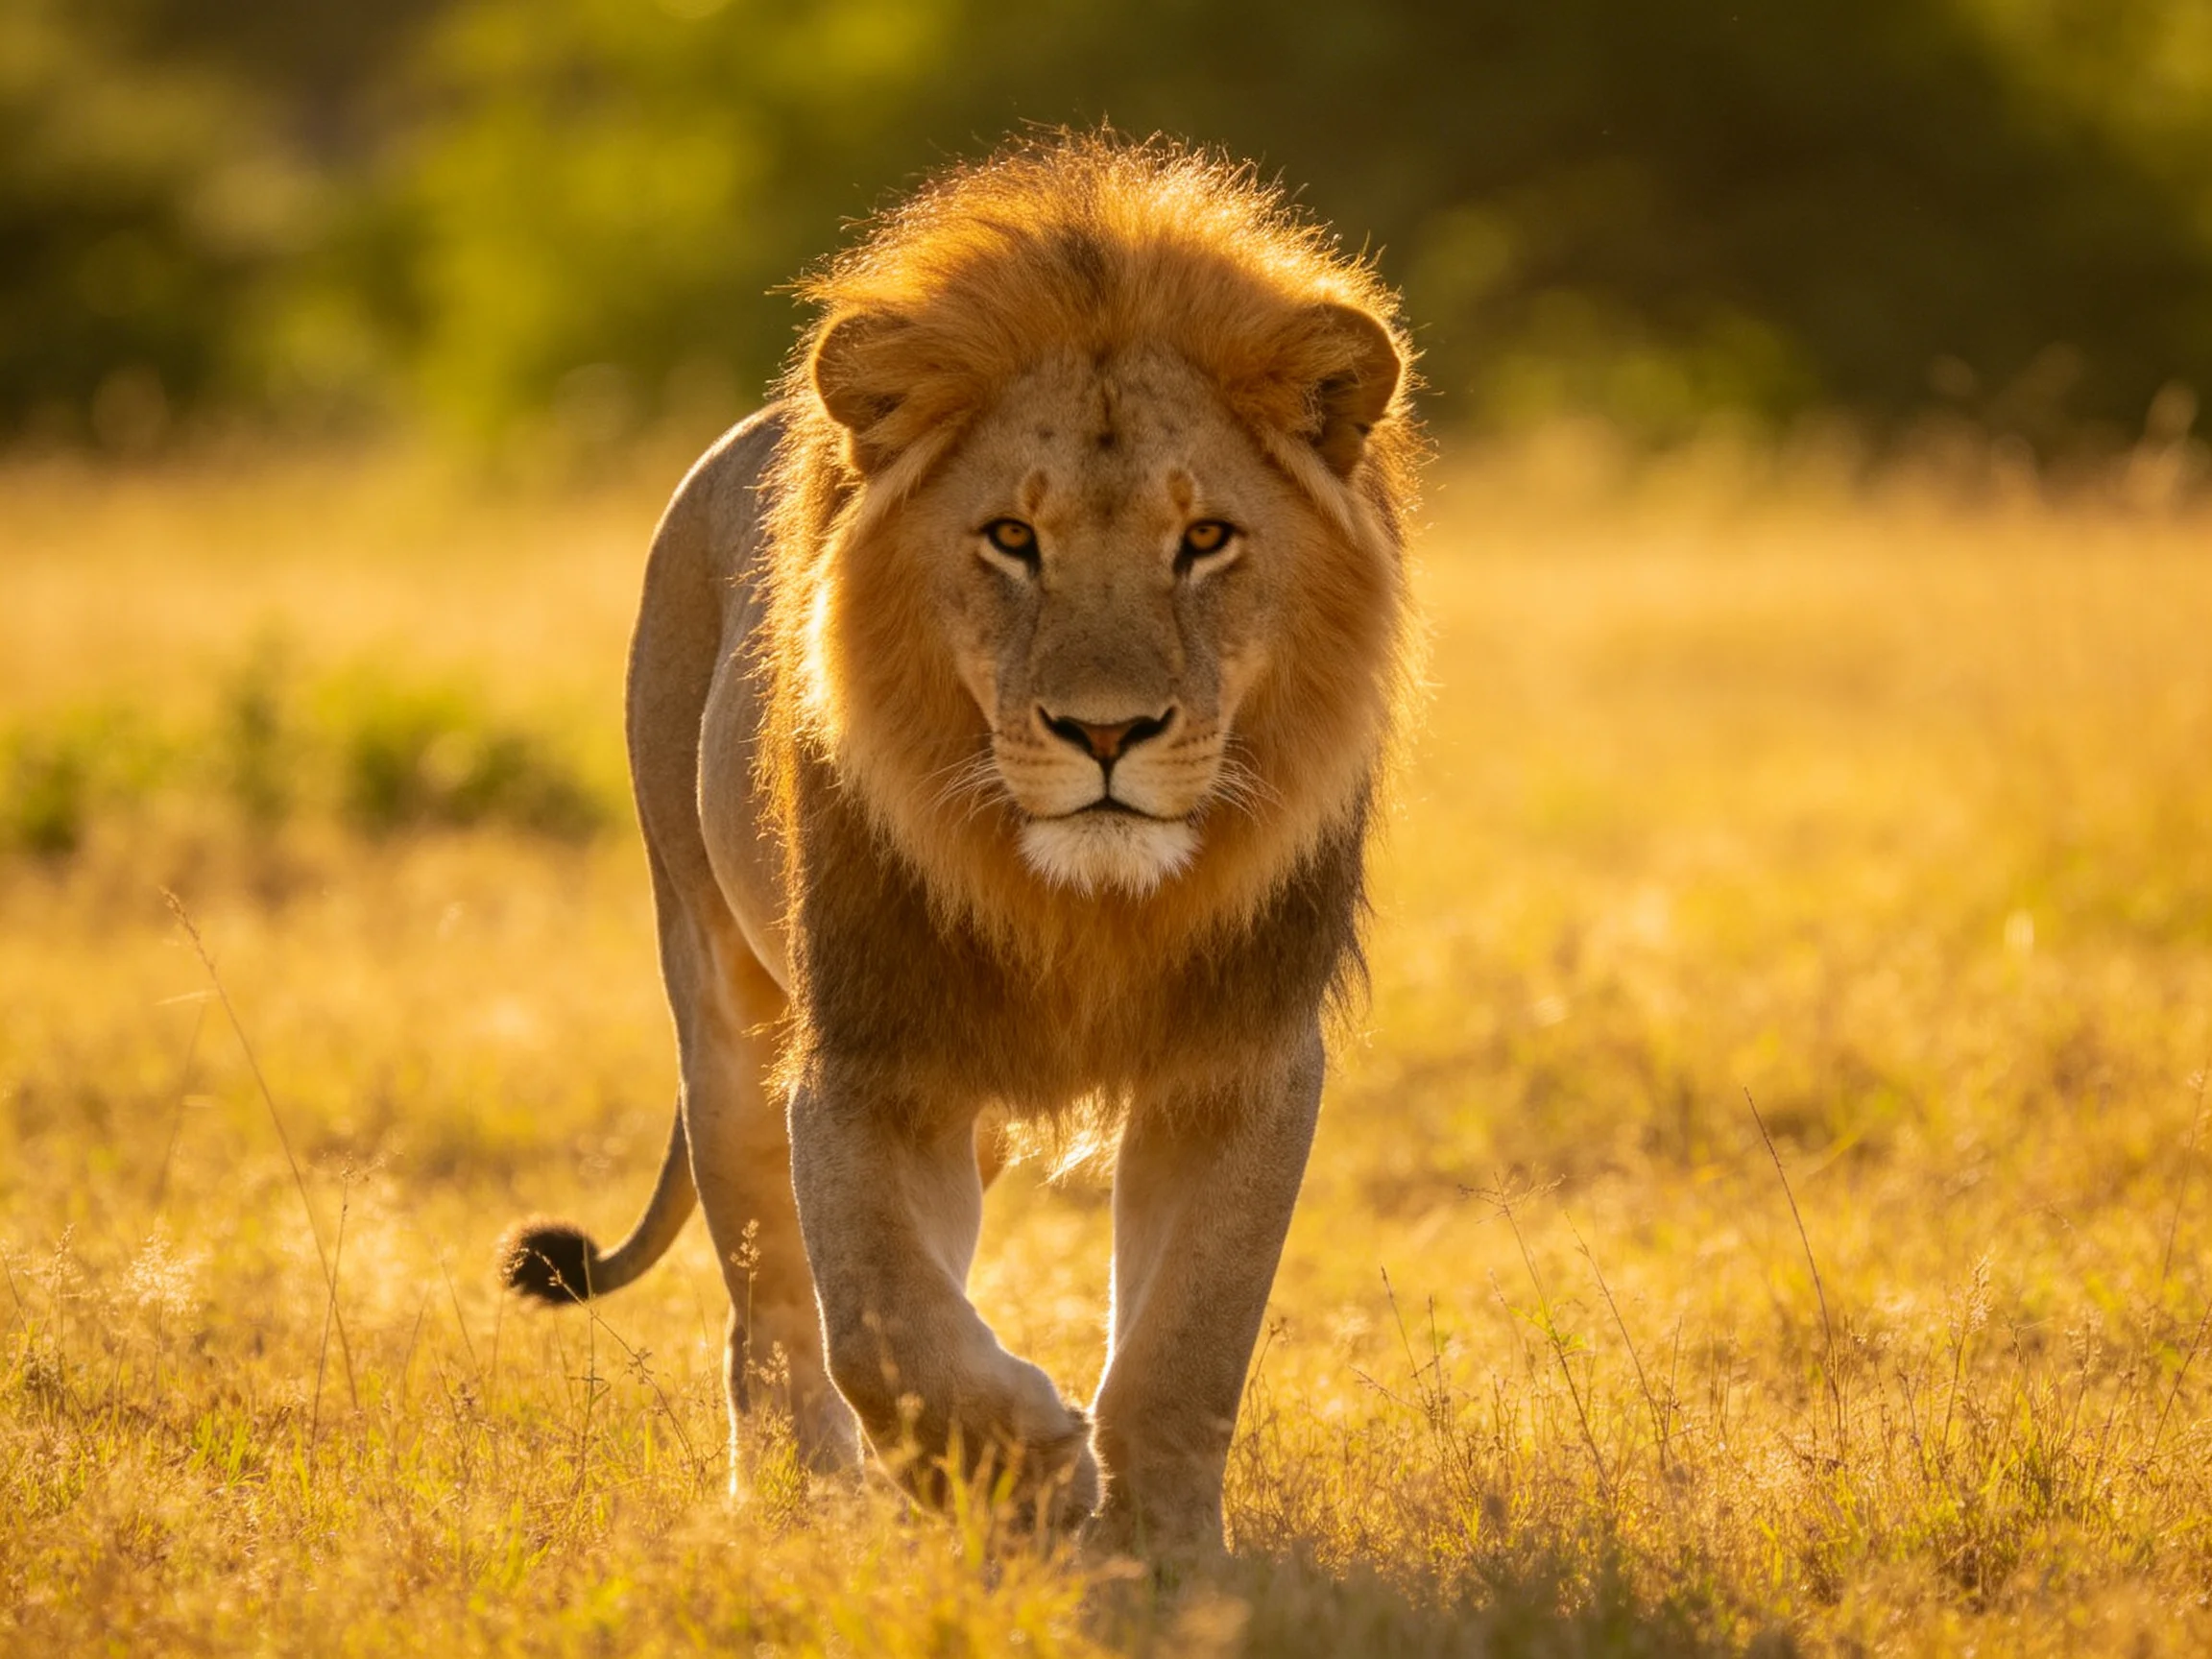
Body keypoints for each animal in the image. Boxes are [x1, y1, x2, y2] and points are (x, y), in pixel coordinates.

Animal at [497, 134, 1422, 1557]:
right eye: (1012, 539)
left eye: (1205, 539)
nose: (1108, 731)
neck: (1085, 904)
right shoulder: (869, 1056)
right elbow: (880, 1320)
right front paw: (1022, 1476)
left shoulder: (1244, 1056)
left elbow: (1191, 1338)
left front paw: (1164, 1551)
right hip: (718, 1003)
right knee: (769, 1307)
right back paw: (801, 1498)